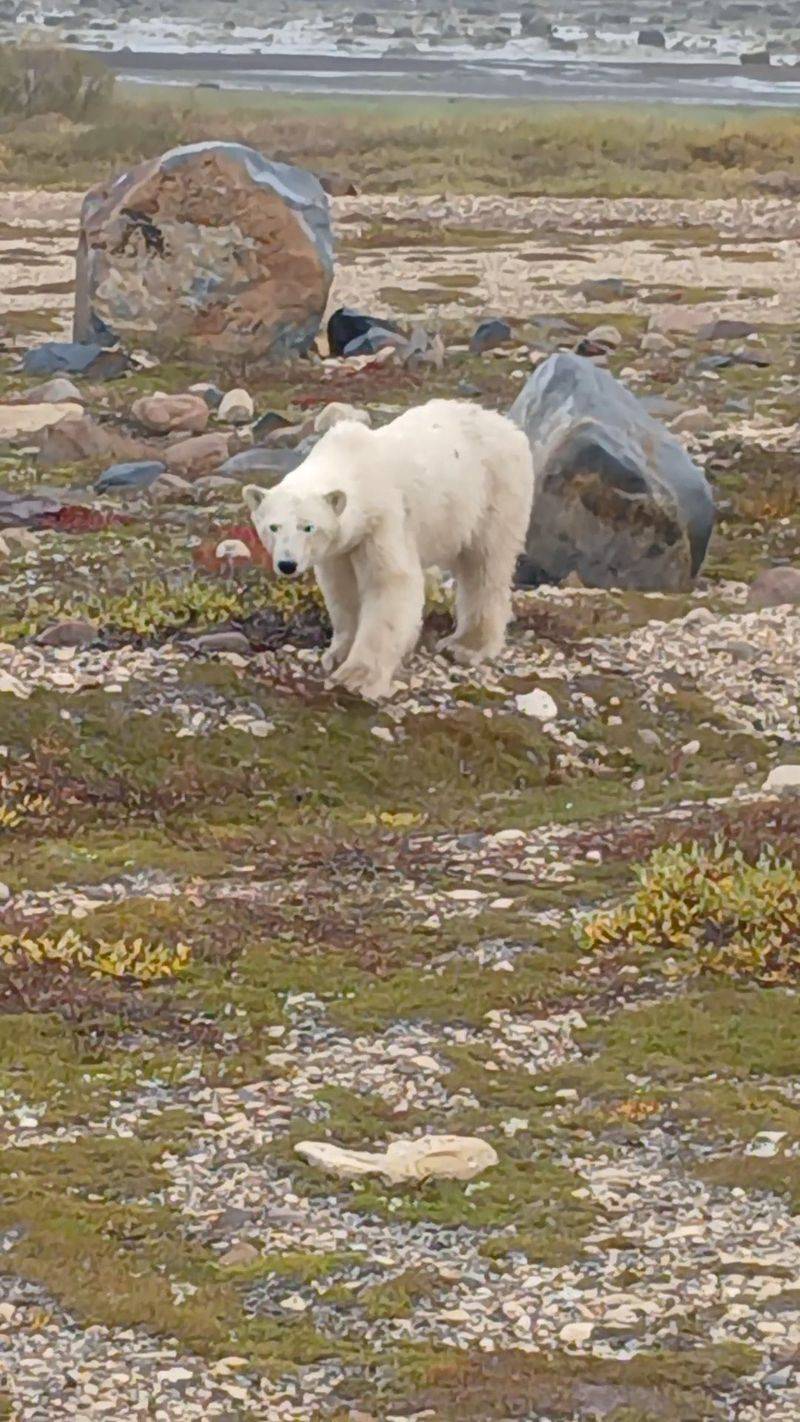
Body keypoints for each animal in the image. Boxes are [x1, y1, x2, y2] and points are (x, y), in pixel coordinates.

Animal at [243, 399, 534, 701]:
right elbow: (342, 590)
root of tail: (509, 426)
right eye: (273, 527)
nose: (287, 564)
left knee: (485, 565)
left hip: (495, 491)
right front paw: (337, 654)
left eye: (308, 527)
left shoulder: (384, 519)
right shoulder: (341, 548)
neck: (354, 464)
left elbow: (390, 583)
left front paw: (357, 677)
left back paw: (468, 644)